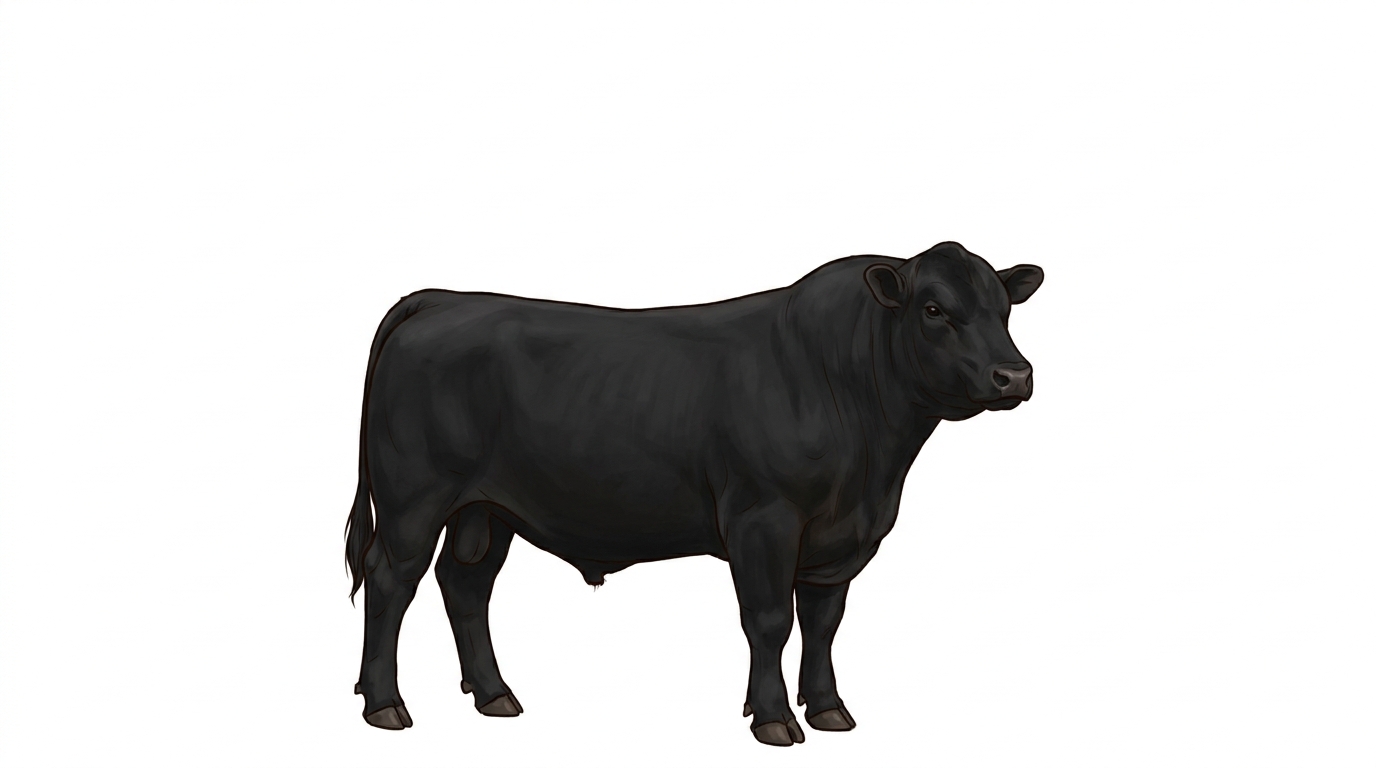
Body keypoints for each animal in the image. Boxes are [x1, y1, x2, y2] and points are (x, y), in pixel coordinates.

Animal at [345, 241, 1044, 746]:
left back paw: (495, 695)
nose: (1014, 375)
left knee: (465, 585)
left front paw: (828, 710)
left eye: (1004, 309)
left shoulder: (843, 535)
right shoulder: (764, 519)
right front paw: (774, 719)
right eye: (933, 309)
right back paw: (386, 705)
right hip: (414, 501)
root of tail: (443, 299)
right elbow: (770, 619)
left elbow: (824, 623)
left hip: (486, 511)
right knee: (390, 581)